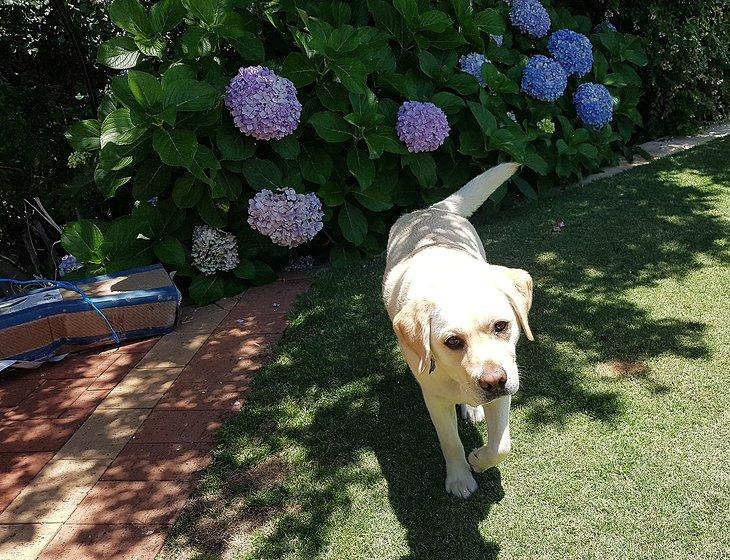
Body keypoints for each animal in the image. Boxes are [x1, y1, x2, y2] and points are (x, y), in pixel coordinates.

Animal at [384, 162, 532, 498]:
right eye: (452, 341)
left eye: (502, 326)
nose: (493, 381)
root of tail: (430, 210)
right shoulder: (434, 397)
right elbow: (450, 442)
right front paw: (460, 478)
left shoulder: (505, 387)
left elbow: (501, 446)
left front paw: (479, 459)